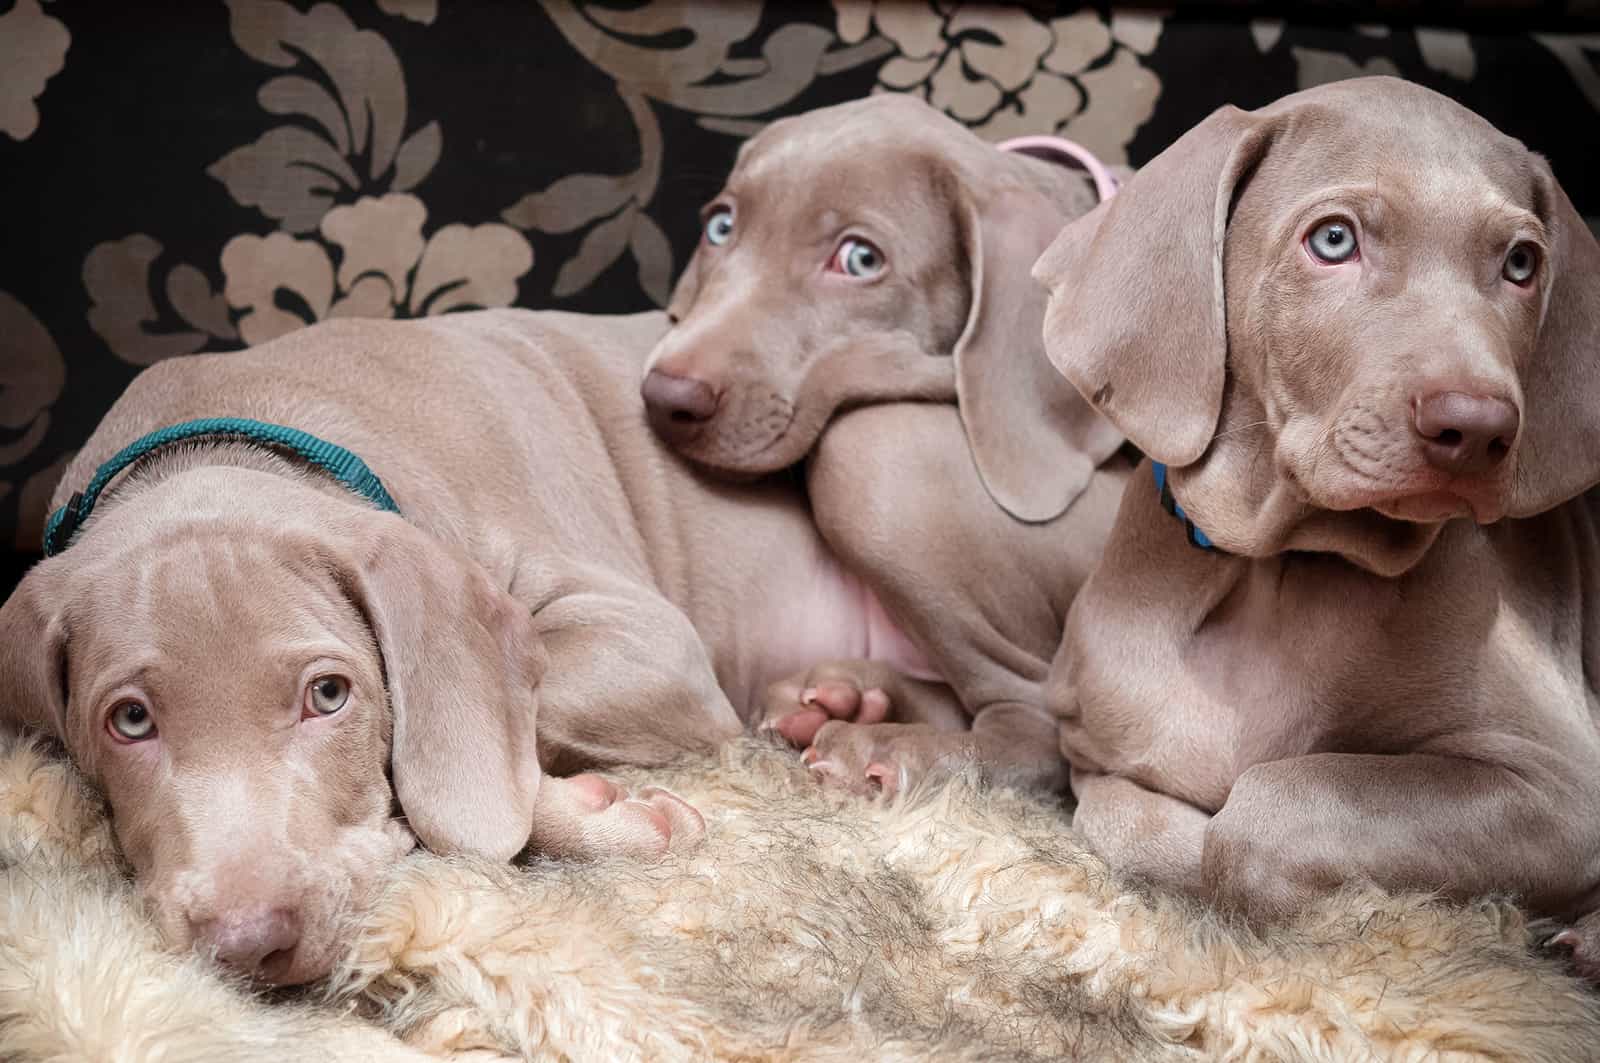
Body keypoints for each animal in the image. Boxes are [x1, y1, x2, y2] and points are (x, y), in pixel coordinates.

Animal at [0, 308, 934, 986]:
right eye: (130, 720)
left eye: (328, 695)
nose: (247, 942)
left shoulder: (653, 640)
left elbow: (491, 751)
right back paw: (830, 699)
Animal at [636, 95, 1126, 797]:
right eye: (721, 227)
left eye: (861, 260)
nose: (665, 396)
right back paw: (840, 696)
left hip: (876, 458)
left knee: (1038, 726)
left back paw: (889, 744)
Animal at [1030, 72, 1600, 973]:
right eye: (1333, 241)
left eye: (1520, 263)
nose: (1478, 429)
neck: (1279, 566)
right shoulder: (1091, 752)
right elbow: (1118, 818)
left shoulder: (1563, 786)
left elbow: (1271, 802)